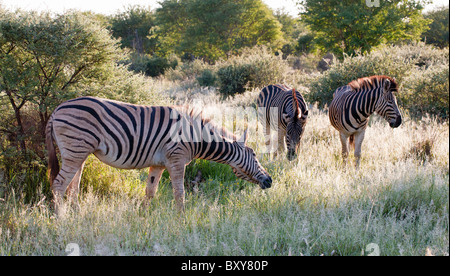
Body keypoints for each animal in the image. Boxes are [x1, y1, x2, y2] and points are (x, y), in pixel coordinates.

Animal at [45, 97, 272, 213]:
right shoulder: (176, 160)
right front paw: (182, 218)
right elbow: (179, 193)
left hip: (79, 153)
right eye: (254, 155)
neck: (195, 137)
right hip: (75, 149)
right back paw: (60, 217)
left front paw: (144, 216)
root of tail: (56, 109)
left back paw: (77, 213)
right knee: (59, 185)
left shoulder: (159, 164)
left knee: (73, 186)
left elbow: (150, 191)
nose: (270, 180)